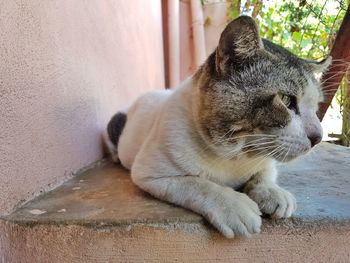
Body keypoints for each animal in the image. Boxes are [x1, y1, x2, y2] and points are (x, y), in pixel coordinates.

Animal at [104, 16, 330, 239]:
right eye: (285, 100)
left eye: (316, 106)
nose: (318, 137)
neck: (236, 156)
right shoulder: (151, 173)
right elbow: (197, 183)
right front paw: (233, 205)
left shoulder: (264, 162)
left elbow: (265, 172)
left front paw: (272, 192)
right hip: (115, 123)